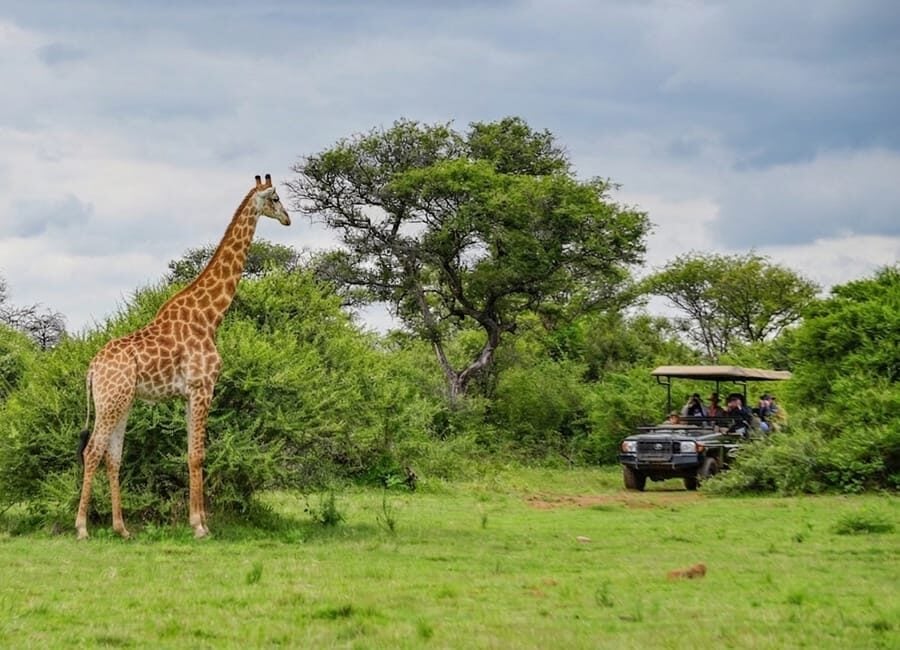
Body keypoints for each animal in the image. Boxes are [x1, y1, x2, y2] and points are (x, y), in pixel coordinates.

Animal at [75, 174, 291, 540]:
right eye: (275, 198)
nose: (288, 218)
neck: (210, 316)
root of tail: (92, 369)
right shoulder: (203, 387)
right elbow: (197, 455)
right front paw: (200, 526)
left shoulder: (191, 393)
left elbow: (192, 453)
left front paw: (201, 521)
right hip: (111, 401)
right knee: (92, 451)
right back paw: (81, 529)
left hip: (121, 402)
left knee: (112, 456)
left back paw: (122, 529)